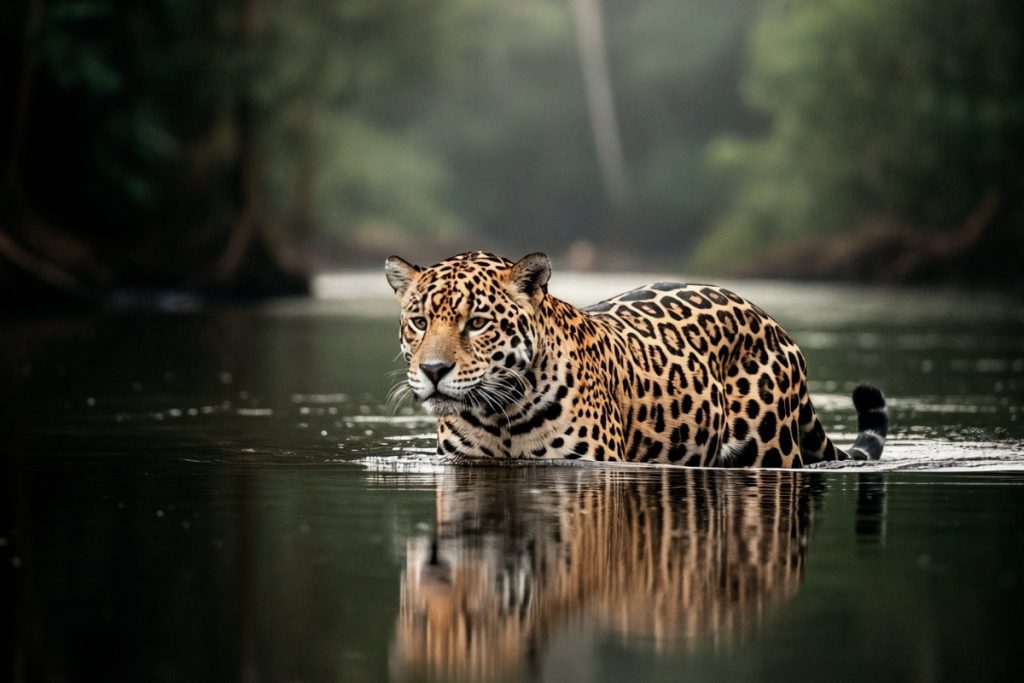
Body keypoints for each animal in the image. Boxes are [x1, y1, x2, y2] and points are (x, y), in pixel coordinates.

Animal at [385, 251, 888, 468]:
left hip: (773, 452)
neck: (500, 416)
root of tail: (770, 319)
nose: (433, 371)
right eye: (419, 322)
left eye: (477, 323)